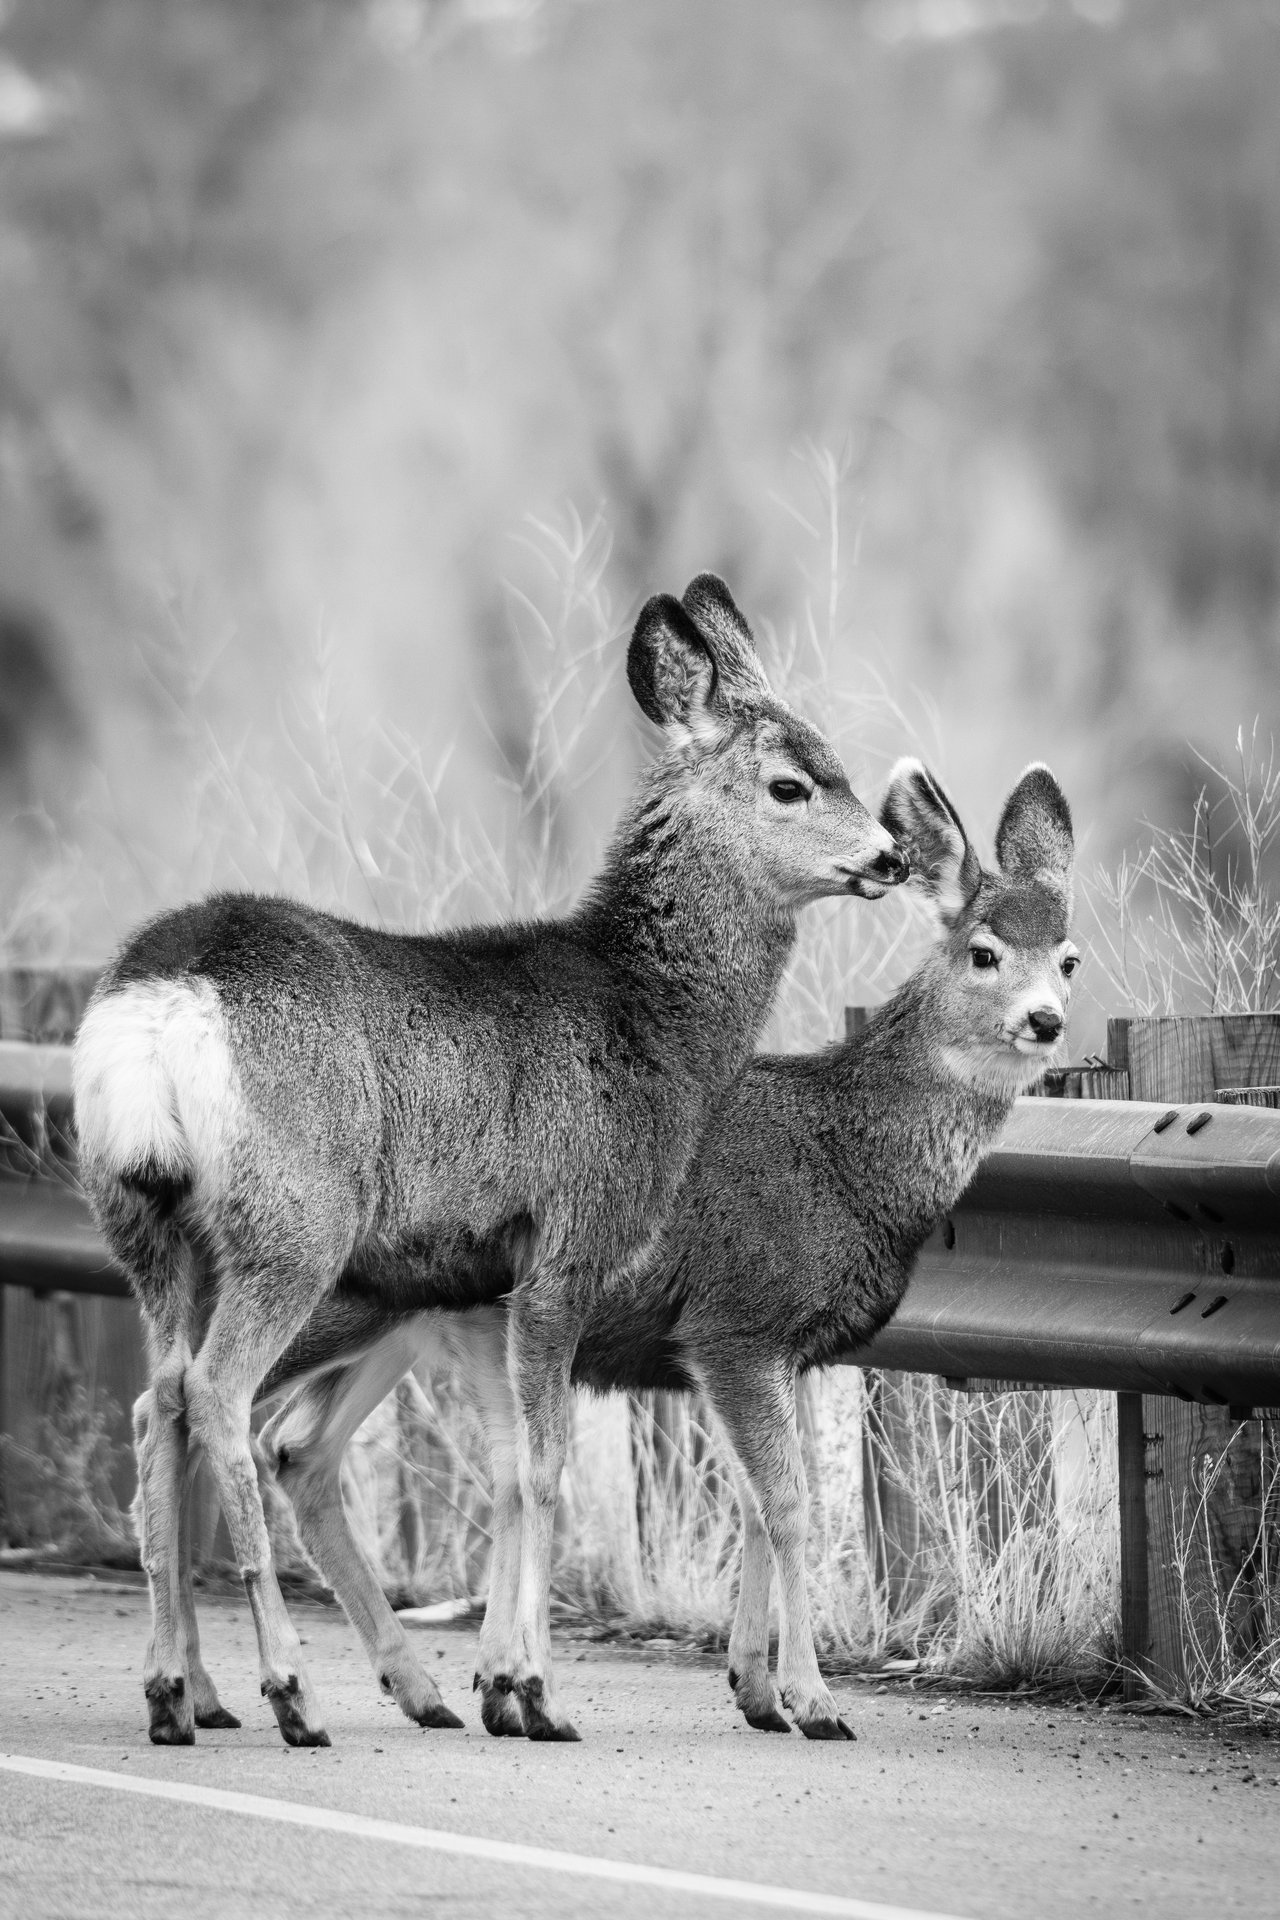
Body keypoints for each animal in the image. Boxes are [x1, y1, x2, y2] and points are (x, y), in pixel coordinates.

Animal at [72, 573, 908, 1749]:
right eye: (791, 782)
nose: (890, 857)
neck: (648, 1025)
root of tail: (163, 996)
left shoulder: (496, 1282)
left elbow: (516, 1468)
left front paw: (501, 1683)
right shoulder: (567, 1239)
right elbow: (544, 1468)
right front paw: (534, 1692)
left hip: (147, 1225)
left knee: (161, 1403)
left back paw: (177, 1694)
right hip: (295, 1226)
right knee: (219, 1395)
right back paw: (290, 1692)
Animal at [237, 755, 1075, 1743]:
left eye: (1070, 957)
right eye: (984, 952)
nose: (1047, 1020)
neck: (844, 1150)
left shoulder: (778, 1350)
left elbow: (754, 1503)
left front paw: (753, 1688)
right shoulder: (736, 1321)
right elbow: (789, 1505)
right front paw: (814, 1698)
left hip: (408, 1325)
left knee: (301, 1450)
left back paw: (425, 1690)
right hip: (327, 1300)